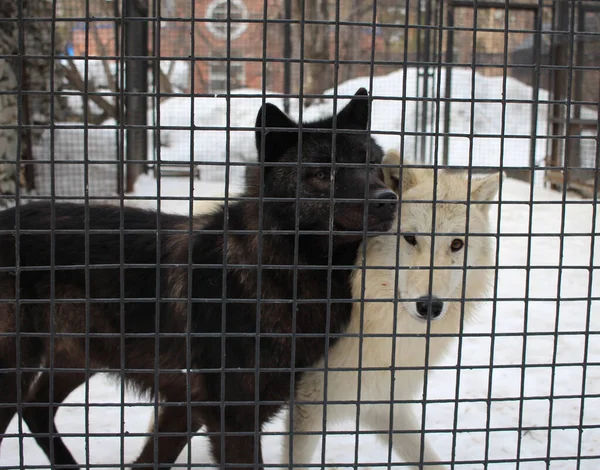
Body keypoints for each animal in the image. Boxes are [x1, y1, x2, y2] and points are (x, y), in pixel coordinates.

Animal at [0, 89, 396, 470]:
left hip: (79, 359)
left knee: (35, 408)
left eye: (373, 165)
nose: (387, 200)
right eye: (323, 174)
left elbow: (149, 460)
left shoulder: (186, 407)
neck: (279, 274)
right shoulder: (232, 417)